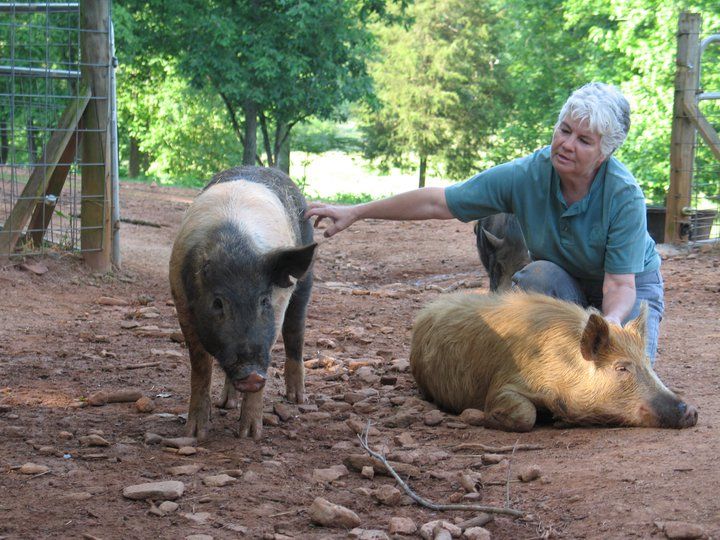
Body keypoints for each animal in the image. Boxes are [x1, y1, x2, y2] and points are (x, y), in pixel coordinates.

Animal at [410, 288, 696, 432]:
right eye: (621, 367)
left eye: (648, 363)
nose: (691, 410)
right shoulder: (504, 383)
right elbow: (526, 415)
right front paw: (482, 417)